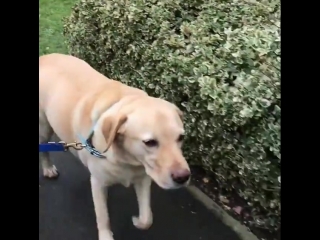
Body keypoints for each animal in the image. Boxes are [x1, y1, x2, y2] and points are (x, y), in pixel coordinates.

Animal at [39, 54, 190, 240]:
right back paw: (48, 168)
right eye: (150, 142)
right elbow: (103, 216)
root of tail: (45, 57)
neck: (128, 159)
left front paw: (137, 221)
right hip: (44, 127)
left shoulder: (143, 178)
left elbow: (147, 218)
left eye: (181, 137)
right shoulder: (98, 183)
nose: (183, 177)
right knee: (44, 149)